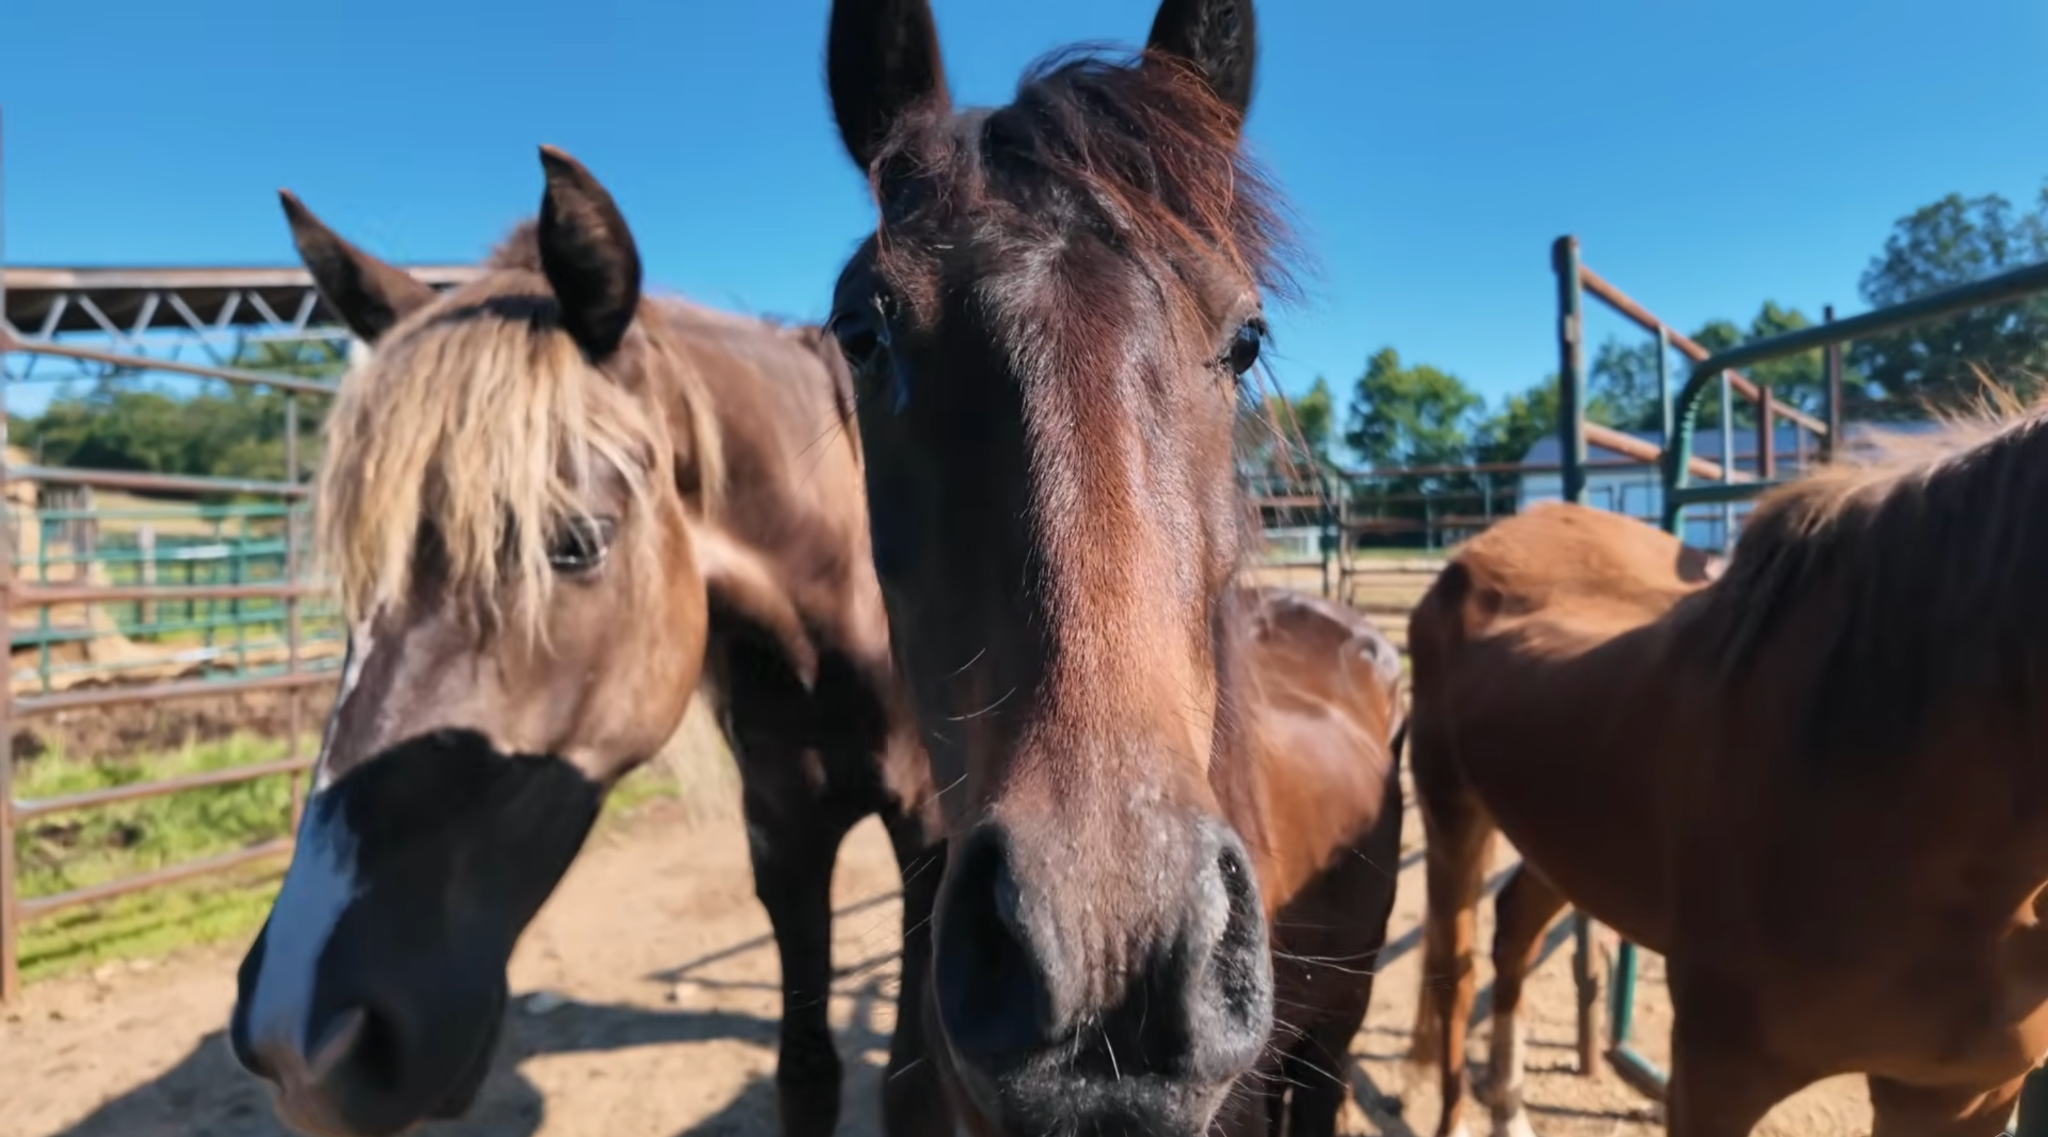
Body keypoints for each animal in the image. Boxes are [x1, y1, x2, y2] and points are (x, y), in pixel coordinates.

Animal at [227, 147, 950, 1137]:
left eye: (575, 542)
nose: (299, 1042)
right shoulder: (783, 837)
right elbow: (804, 1075)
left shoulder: (930, 836)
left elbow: (913, 1084)